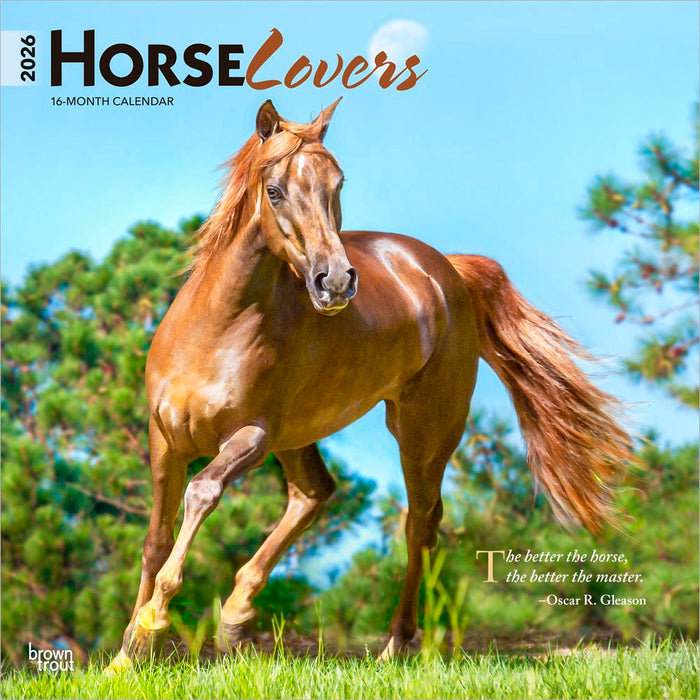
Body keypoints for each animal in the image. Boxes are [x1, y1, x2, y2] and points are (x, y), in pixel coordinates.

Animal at [107, 98, 632, 671]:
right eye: (275, 190)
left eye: (338, 183)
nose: (335, 281)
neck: (217, 329)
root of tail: (448, 271)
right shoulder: (165, 438)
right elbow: (156, 539)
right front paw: (126, 653)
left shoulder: (251, 436)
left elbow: (202, 493)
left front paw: (151, 624)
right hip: (300, 437)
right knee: (315, 494)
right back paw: (237, 620)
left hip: (421, 430)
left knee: (419, 521)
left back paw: (395, 644)